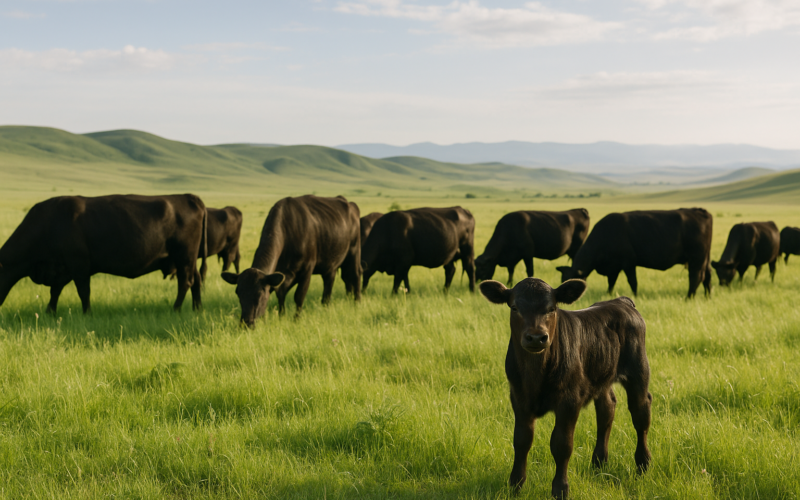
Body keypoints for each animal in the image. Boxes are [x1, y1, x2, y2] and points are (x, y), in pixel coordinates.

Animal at [0, 194, 207, 314]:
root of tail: (188, 197)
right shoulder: (62, 268)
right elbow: (55, 291)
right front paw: (49, 312)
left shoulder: (78, 265)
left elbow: (83, 291)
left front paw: (87, 314)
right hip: (188, 259)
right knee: (196, 280)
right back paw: (197, 309)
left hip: (184, 256)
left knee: (186, 282)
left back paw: (176, 309)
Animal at [221, 195, 361, 327]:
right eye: (238, 293)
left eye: (260, 293)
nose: (246, 324)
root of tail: (349, 203)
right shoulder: (279, 275)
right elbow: (281, 294)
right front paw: (281, 317)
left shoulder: (307, 269)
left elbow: (299, 296)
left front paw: (296, 320)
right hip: (330, 263)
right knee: (329, 285)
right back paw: (326, 307)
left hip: (354, 251)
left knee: (355, 274)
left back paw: (357, 302)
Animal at [480, 277, 652, 498]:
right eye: (515, 307)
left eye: (552, 308)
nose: (536, 337)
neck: (535, 376)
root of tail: (621, 302)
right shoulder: (519, 398)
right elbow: (521, 440)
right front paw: (515, 485)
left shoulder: (569, 401)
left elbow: (561, 444)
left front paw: (560, 489)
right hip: (601, 375)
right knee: (607, 409)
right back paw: (599, 463)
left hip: (638, 372)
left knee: (640, 414)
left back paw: (643, 464)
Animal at [557, 208, 713, 298]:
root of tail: (700, 211)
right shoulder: (614, 266)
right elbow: (611, 282)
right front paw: (608, 294)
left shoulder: (628, 263)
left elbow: (633, 282)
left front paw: (636, 296)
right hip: (704, 258)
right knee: (707, 275)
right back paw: (707, 296)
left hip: (696, 258)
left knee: (696, 277)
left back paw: (688, 297)